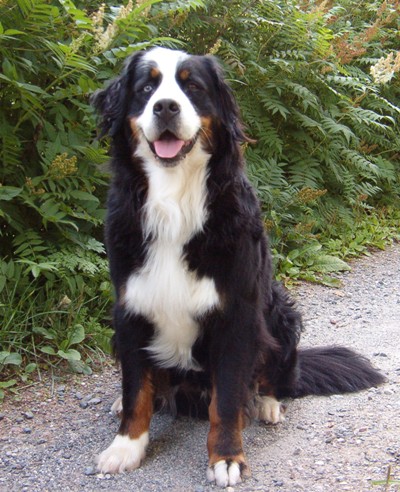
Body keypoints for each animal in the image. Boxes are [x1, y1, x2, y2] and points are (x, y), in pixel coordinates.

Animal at [91, 47, 385, 487]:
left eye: (193, 87)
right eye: (146, 88)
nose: (165, 106)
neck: (174, 202)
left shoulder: (236, 315)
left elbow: (227, 399)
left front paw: (226, 457)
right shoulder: (131, 307)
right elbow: (136, 388)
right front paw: (127, 445)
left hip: (279, 310)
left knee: (277, 377)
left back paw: (267, 403)